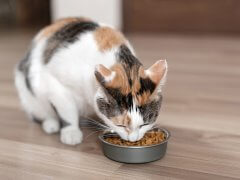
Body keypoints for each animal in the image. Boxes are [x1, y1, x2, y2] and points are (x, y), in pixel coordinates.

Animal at [14, 17, 167, 146]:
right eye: (120, 125)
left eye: (145, 124)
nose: (133, 139)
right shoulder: (56, 84)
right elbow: (67, 110)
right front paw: (71, 132)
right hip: (29, 92)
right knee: (42, 111)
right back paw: (51, 124)